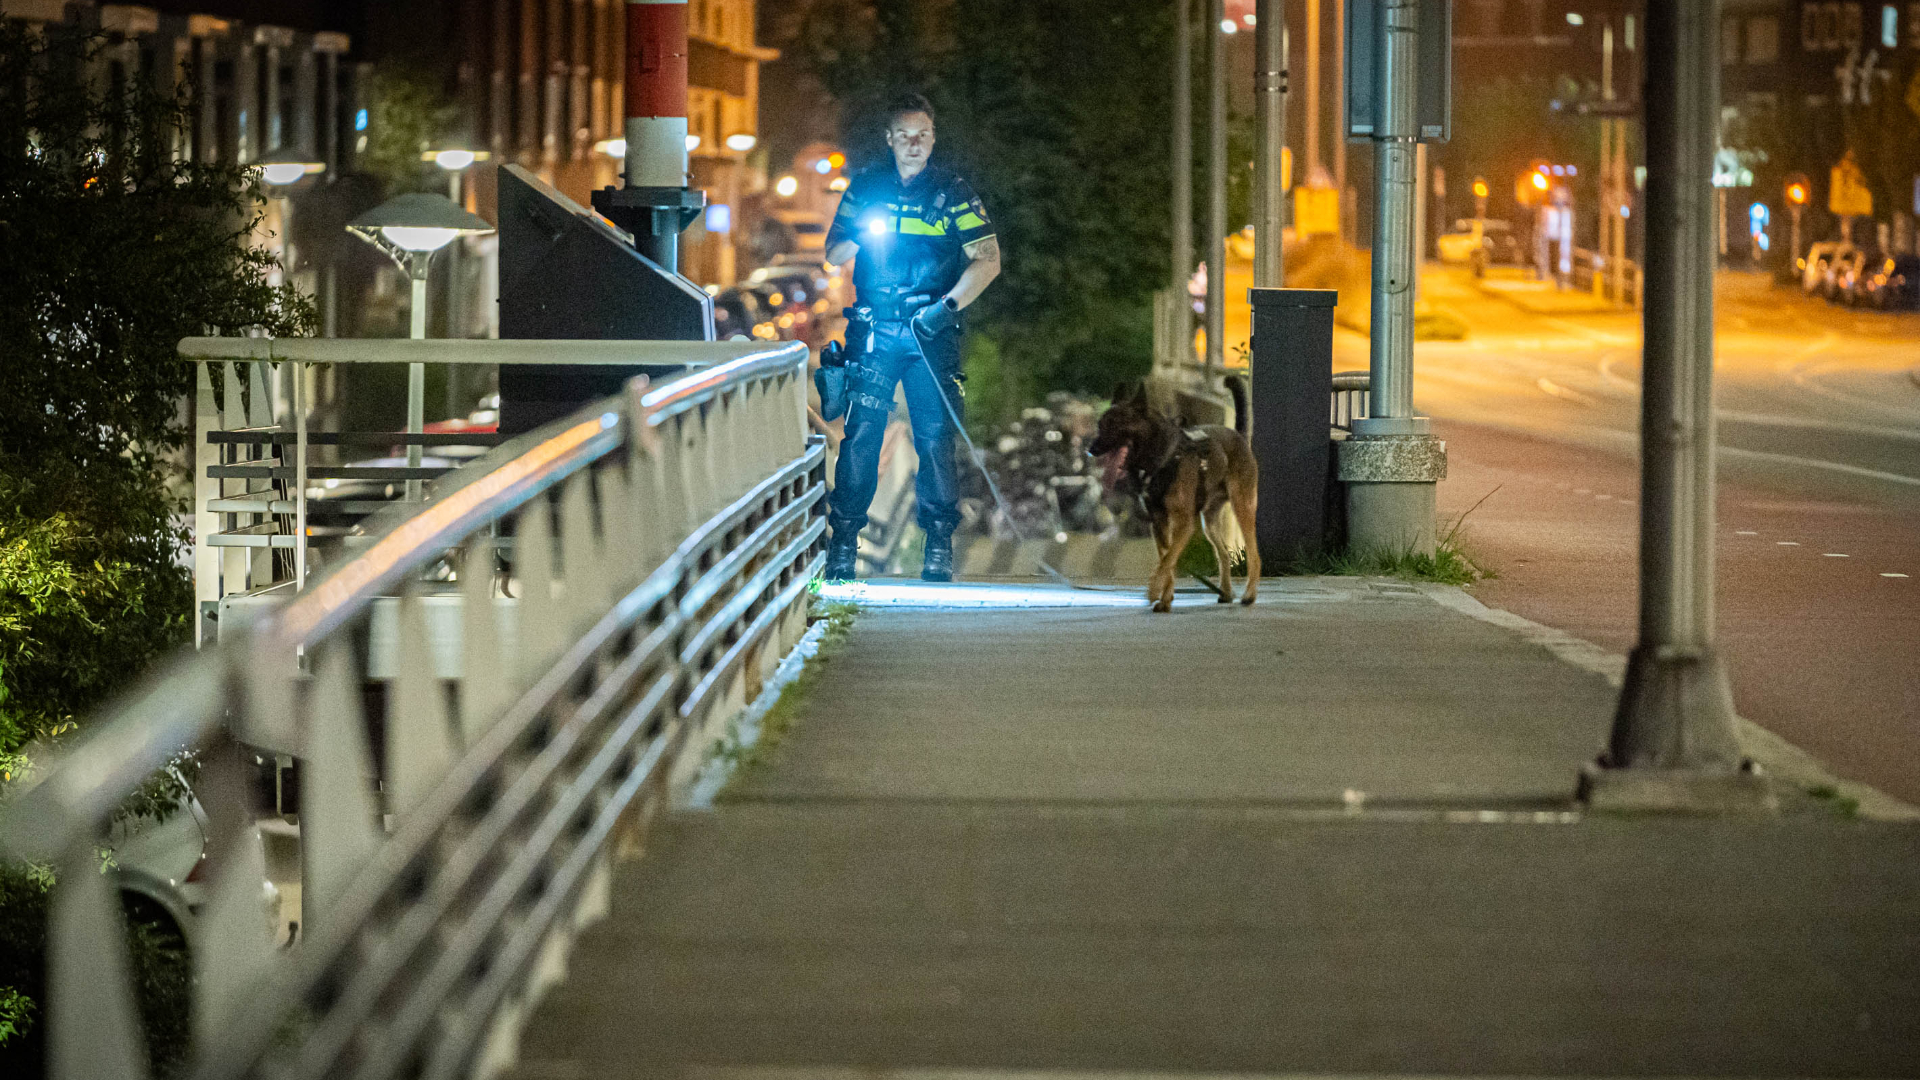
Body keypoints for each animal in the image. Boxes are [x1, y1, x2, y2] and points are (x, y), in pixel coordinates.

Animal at [1098, 376, 1259, 611]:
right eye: (1099, 426)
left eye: (1115, 425)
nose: (1091, 449)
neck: (1164, 457)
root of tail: (1238, 435)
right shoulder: (1159, 524)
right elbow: (1167, 560)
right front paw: (1166, 598)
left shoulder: (1183, 524)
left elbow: (1167, 561)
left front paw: (1154, 590)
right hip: (1209, 523)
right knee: (1223, 554)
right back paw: (1226, 592)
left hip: (1242, 508)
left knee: (1255, 554)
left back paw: (1249, 595)